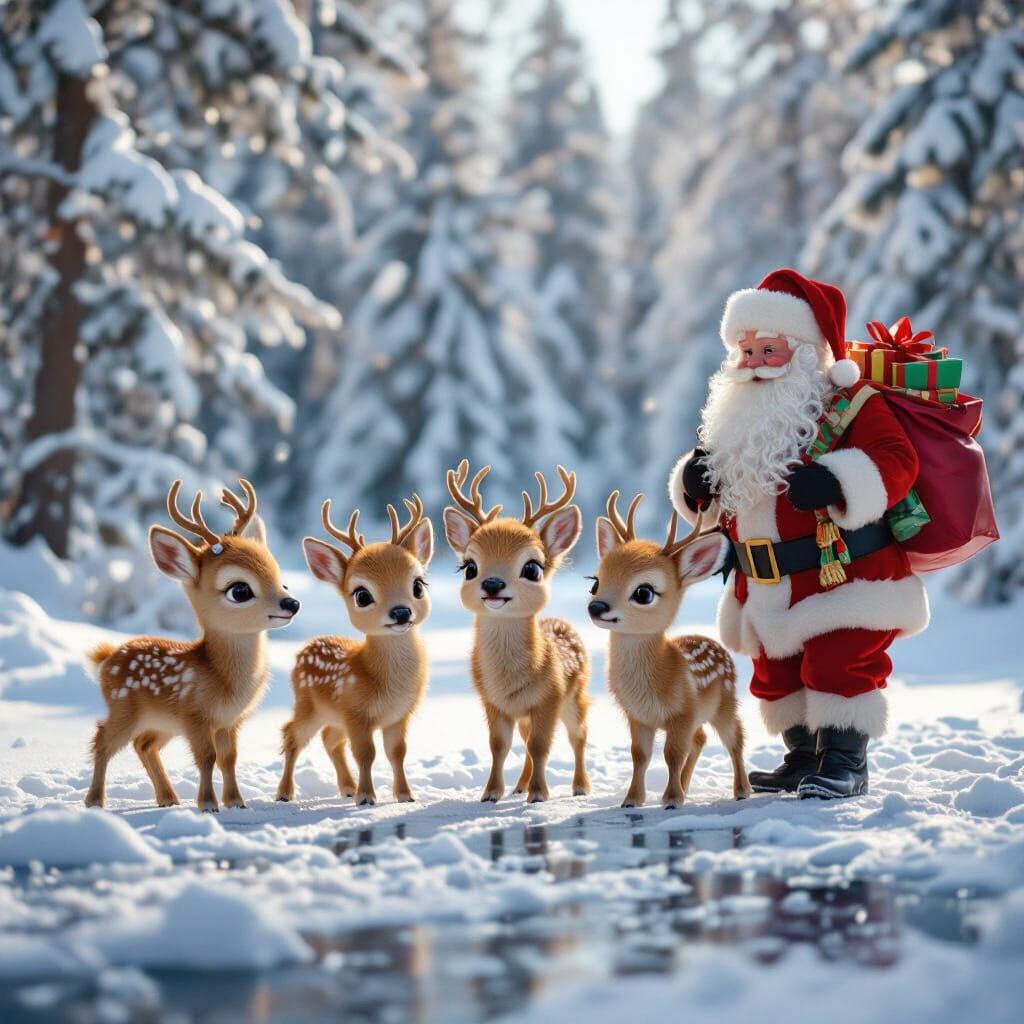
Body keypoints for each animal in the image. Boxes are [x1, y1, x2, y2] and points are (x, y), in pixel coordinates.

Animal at [85, 479, 299, 811]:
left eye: (282, 580)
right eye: (239, 590)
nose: (292, 603)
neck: (222, 677)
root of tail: (106, 658)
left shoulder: (229, 721)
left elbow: (228, 759)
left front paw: (236, 802)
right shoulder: (194, 715)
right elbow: (206, 758)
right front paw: (208, 804)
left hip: (161, 723)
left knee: (142, 744)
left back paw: (168, 799)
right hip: (125, 709)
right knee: (103, 740)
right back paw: (95, 801)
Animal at [275, 494, 433, 806]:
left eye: (418, 585)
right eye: (362, 595)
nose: (401, 612)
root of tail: (305, 648)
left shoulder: (399, 715)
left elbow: (397, 752)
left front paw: (405, 795)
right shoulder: (356, 712)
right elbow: (366, 753)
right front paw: (367, 797)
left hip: (333, 715)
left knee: (329, 739)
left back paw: (346, 787)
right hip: (309, 705)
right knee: (292, 735)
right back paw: (285, 793)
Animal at [443, 460, 590, 804]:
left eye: (532, 568)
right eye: (469, 566)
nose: (493, 584)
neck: (508, 682)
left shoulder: (549, 698)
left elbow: (541, 746)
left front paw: (539, 794)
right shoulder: (493, 701)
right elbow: (499, 746)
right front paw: (491, 793)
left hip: (574, 696)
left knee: (578, 736)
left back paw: (579, 786)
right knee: (525, 742)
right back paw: (519, 786)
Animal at [588, 492, 751, 809]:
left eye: (644, 592)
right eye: (596, 582)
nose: (597, 607)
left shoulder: (682, 712)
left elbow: (672, 755)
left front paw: (672, 799)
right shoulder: (637, 716)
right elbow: (640, 756)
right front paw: (632, 800)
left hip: (724, 702)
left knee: (734, 738)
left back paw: (741, 791)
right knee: (701, 738)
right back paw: (689, 787)